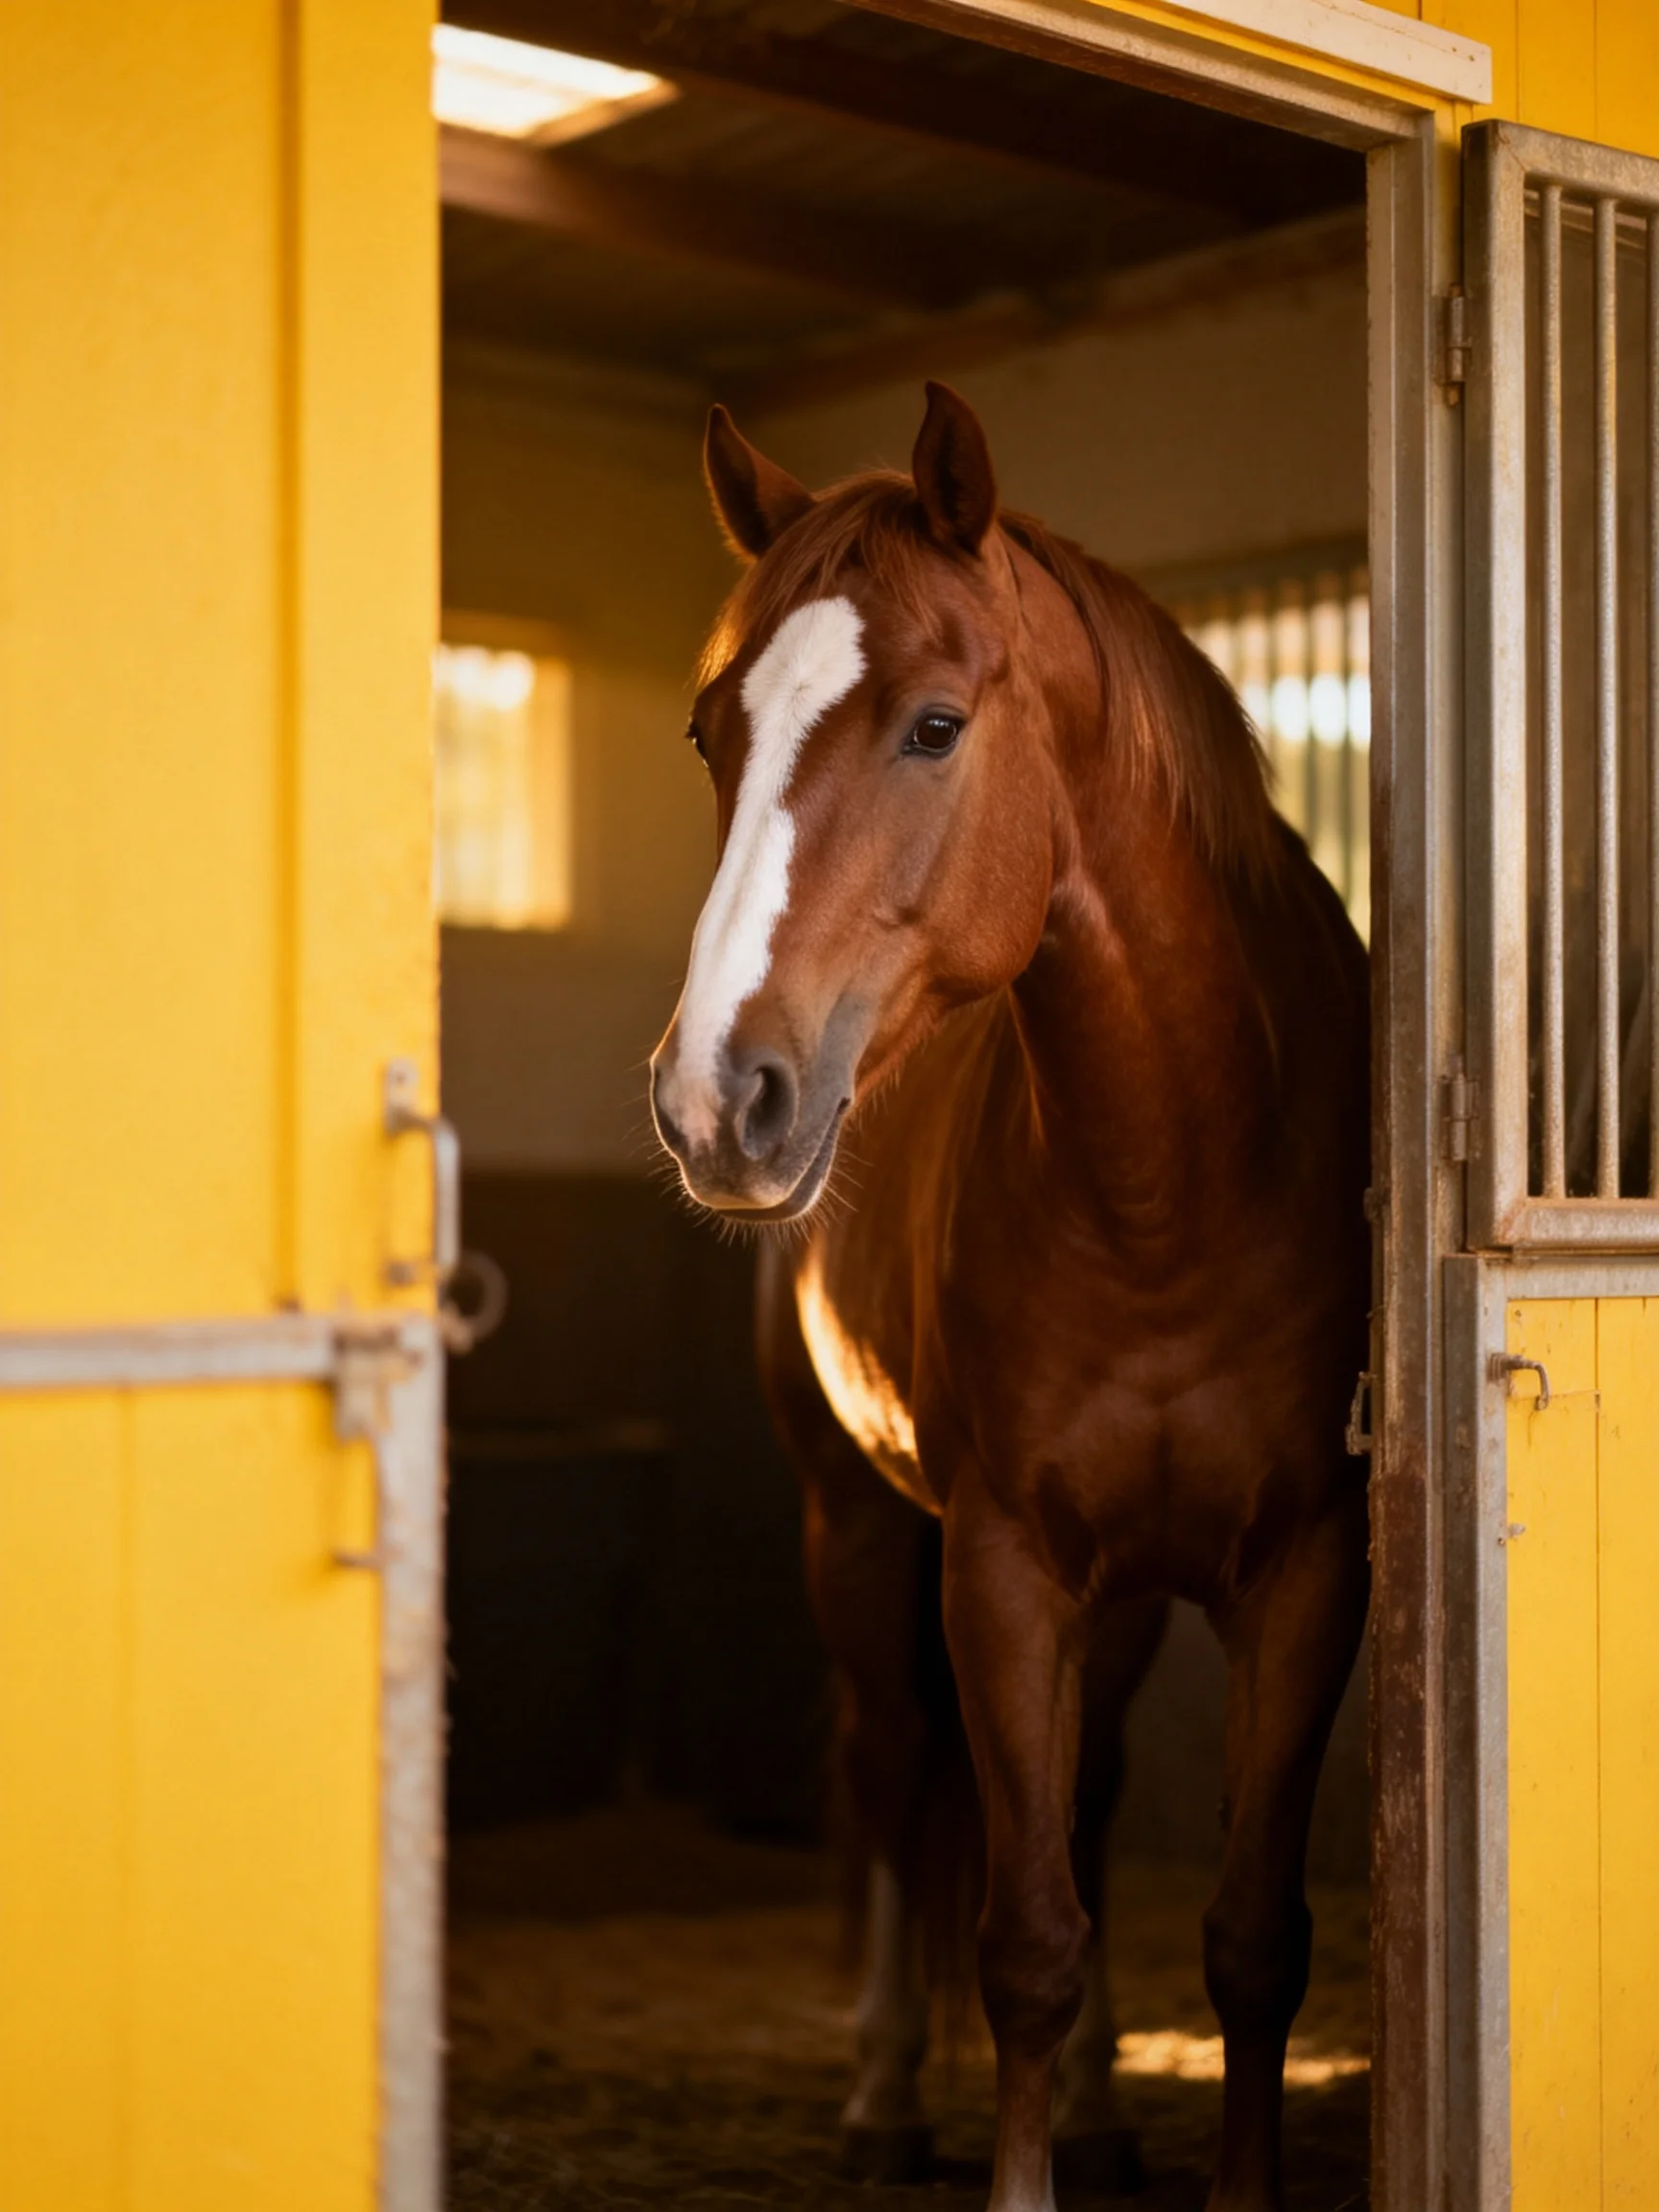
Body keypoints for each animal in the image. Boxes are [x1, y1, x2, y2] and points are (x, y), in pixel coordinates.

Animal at [649, 383, 1371, 2212]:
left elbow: (1249, 1938)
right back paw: (881, 2089)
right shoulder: (999, 1566)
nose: (713, 1101)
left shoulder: (1303, 1573)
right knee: (893, 1762)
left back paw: (1110, 2104)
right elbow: (1023, 1933)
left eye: (932, 726)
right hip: (857, 1531)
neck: (1172, 1178)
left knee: (1092, 1795)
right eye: (711, 734)